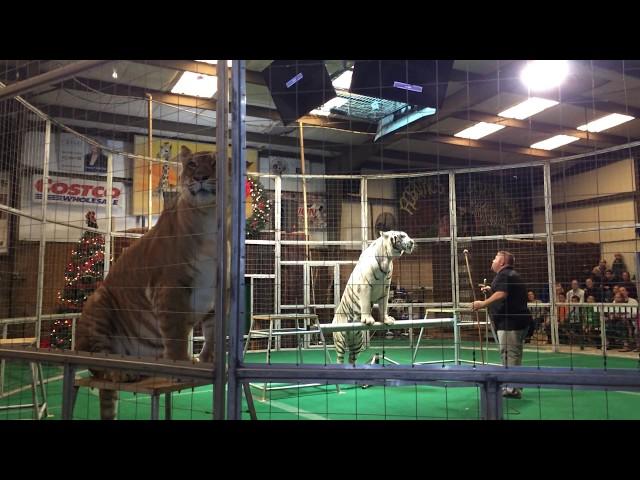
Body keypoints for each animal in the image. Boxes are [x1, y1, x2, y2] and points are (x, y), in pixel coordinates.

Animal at [75, 144, 218, 418]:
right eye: (192, 164)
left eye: (215, 163)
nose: (200, 177)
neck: (209, 216)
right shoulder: (170, 287)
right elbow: (175, 331)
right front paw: (182, 366)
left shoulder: (217, 292)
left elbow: (213, 333)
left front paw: (207, 362)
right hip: (98, 303)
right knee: (98, 364)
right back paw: (123, 372)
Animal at [330, 232, 416, 364]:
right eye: (401, 236)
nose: (412, 242)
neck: (387, 260)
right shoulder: (365, 287)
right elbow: (365, 304)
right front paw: (368, 319)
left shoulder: (385, 290)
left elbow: (384, 306)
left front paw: (386, 319)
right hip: (340, 340)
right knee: (340, 358)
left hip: (357, 343)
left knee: (351, 358)